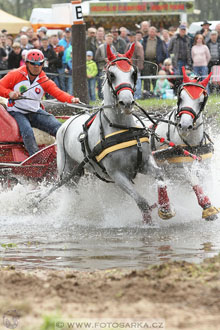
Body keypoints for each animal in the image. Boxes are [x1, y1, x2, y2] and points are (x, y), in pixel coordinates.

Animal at [55, 44, 175, 224]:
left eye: (133, 73)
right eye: (112, 75)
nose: (126, 102)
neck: (122, 128)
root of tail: (67, 121)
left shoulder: (144, 162)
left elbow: (160, 177)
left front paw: (165, 208)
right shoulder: (116, 174)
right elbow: (142, 202)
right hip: (68, 171)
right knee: (71, 192)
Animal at [145, 67, 219, 220]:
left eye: (201, 101)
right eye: (181, 97)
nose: (184, 125)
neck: (191, 144)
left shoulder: (205, 164)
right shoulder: (177, 167)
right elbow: (192, 179)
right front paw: (207, 207)